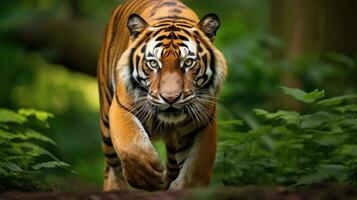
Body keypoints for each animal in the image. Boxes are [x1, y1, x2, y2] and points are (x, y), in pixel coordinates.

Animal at [96, 0, 225, 191]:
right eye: (153, 63)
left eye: (188, 62)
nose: (170, 98)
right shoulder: (122, 107)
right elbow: (132, 147)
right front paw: (146, 177)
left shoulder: (203, 123)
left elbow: (196, 169)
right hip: (106, 125)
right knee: (112, 168)